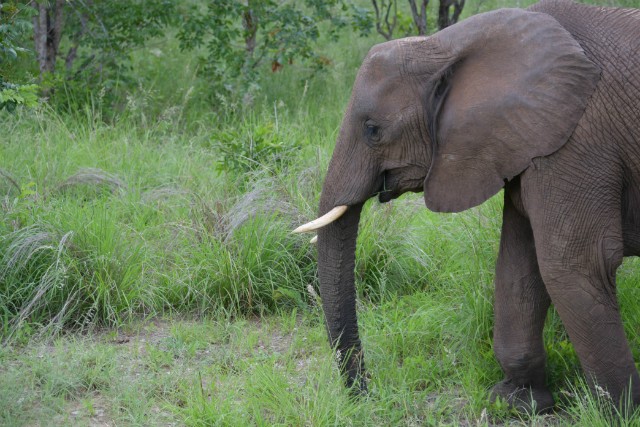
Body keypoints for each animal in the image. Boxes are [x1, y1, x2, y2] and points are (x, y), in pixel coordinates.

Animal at [294, 0, 640, 414]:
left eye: (372, 130)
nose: (366, 394)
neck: (445, 45)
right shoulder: (524, 142)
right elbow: (518, 262)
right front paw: (516, 403)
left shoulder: (576, 142)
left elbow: (573, 264)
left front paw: (619, 413)